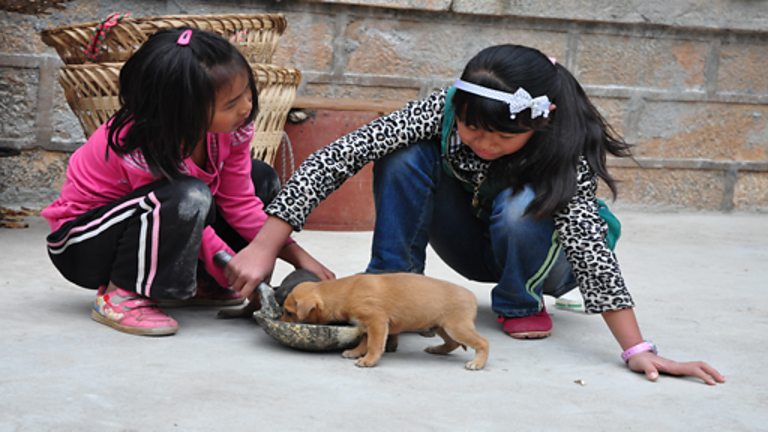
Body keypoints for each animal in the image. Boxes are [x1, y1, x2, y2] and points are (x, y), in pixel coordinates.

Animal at [280, 272, 488, 370]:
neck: (346, 291)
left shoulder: (377, 322)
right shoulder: (366, 325)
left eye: (289, 312)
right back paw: (437, 350)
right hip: (441, 326)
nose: (279, 320)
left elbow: (374, 344)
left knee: (483, 342)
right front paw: (355, 352)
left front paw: (368, 360)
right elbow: (364, 342)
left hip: (457, 327)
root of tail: (471, 296)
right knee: (453, 343)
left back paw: (477, 363)